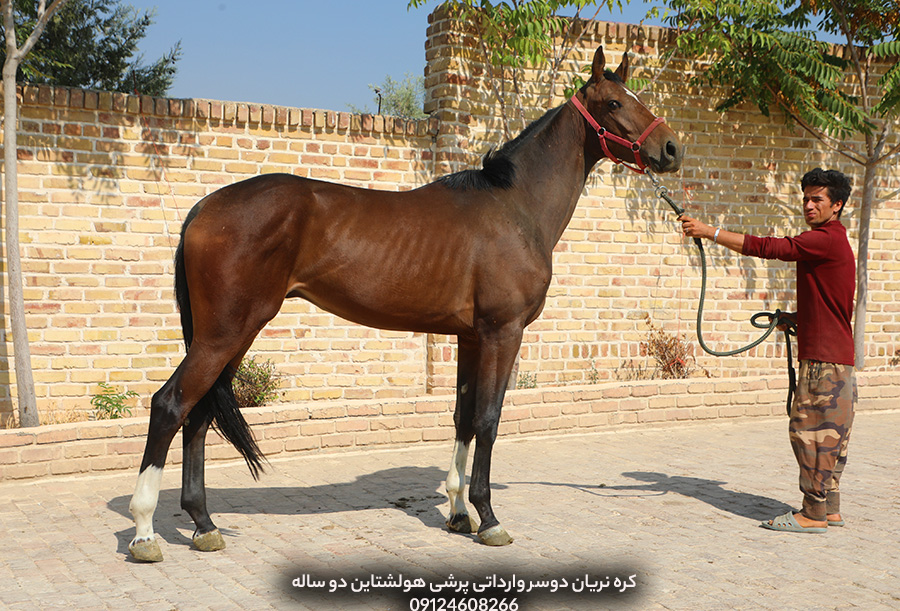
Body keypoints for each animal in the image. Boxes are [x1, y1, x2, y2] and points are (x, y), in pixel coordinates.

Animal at [128, 47, 684, 564]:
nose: (671, 149)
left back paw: (203, 525)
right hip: (226, 333)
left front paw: (458, 513)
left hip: (233, 334)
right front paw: (488, 518)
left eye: (637, 96)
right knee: (170, 405)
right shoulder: (503, 332)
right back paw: (145, 533)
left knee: (199, 415)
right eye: (614, 103)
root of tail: (205, 208)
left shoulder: (469, 336)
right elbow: (488, 419)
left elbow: (462, 417)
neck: (514, 206)